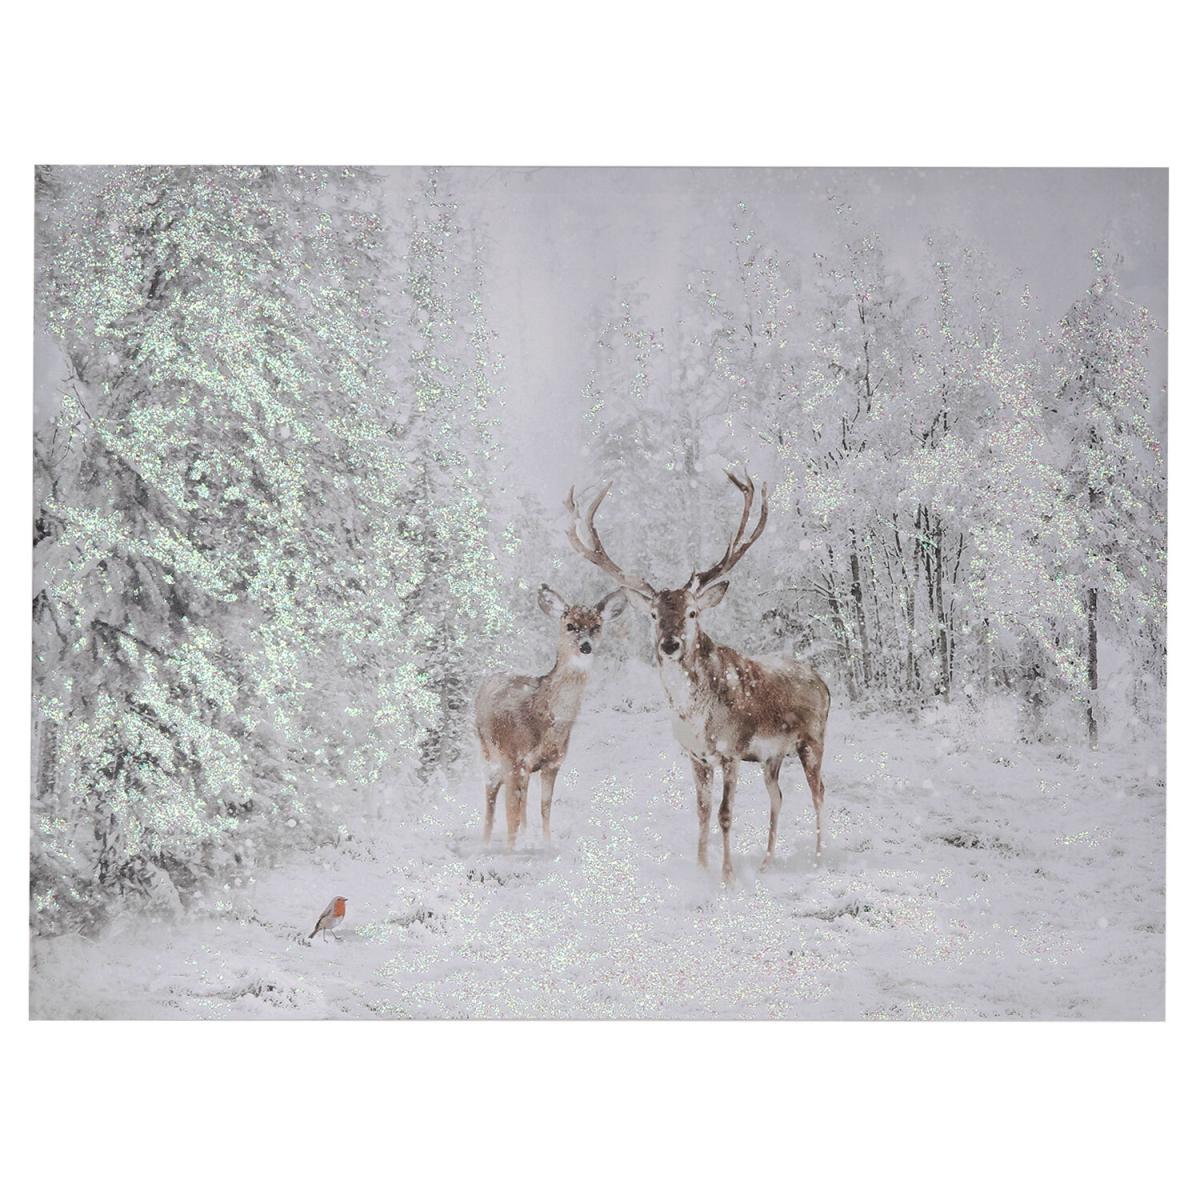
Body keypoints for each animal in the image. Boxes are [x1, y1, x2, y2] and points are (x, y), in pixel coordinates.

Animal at [475, 584, 627, 848]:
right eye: (570, 625)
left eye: (596, 626)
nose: (585, 646)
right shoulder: (515, 759)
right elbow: (511, 816)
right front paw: (510, 851)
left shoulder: (552, 763)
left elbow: (545, 808)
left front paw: (546, 844)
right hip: (489, 751)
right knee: (492, 796)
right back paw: (485, 841)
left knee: (520, 801)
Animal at [565, 472, 831, 882]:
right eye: (654, 615)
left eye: (692, 612)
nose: (670, 644)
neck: (696, 717)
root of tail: (824, 682)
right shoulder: (695, 755)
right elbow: (702, 812)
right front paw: (703, 867)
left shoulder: (732, 750)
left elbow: (725, 814)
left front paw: (727, 876)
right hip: (773, 755)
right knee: (778, 796)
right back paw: (767, 862)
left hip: (813, 740)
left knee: (819, 792)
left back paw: (818, 858)